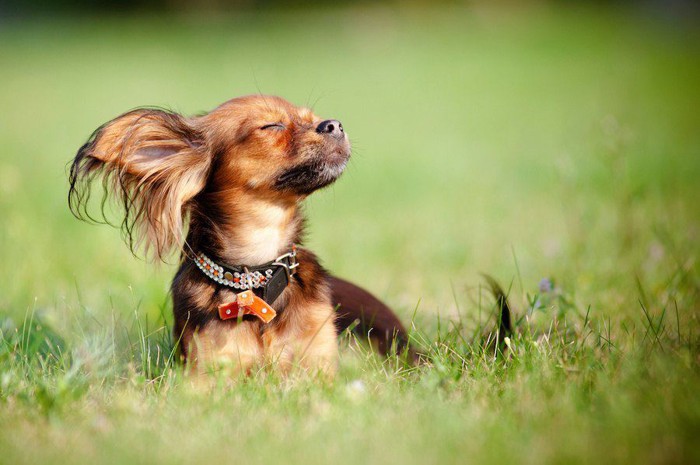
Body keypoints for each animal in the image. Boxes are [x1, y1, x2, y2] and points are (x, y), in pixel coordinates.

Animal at [67, 95, 410, 376]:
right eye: (271, 125)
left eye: (312, 118)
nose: (334, 124)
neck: (259, 271)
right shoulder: (210, 369)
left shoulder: (317, 362)